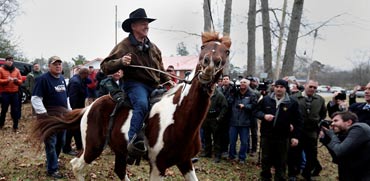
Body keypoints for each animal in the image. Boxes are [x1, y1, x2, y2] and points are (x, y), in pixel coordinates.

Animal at [30, 31, 230, 180]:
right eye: (203, 47)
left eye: (226, 51)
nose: (210, 64)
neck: (179, 115)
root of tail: (89, 107)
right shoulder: (158, 166)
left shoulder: (185, 162)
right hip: (93, 147)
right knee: (77, 166)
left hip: (118, 149)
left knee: (118, 170)